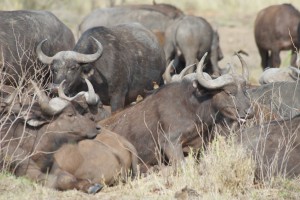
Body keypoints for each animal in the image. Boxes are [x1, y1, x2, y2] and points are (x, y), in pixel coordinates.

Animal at [99, 52, 254, 169]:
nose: (249, 112)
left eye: (245, 90)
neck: (193, 109)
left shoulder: (201, 146)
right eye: (229, 92)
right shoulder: (171, 143)